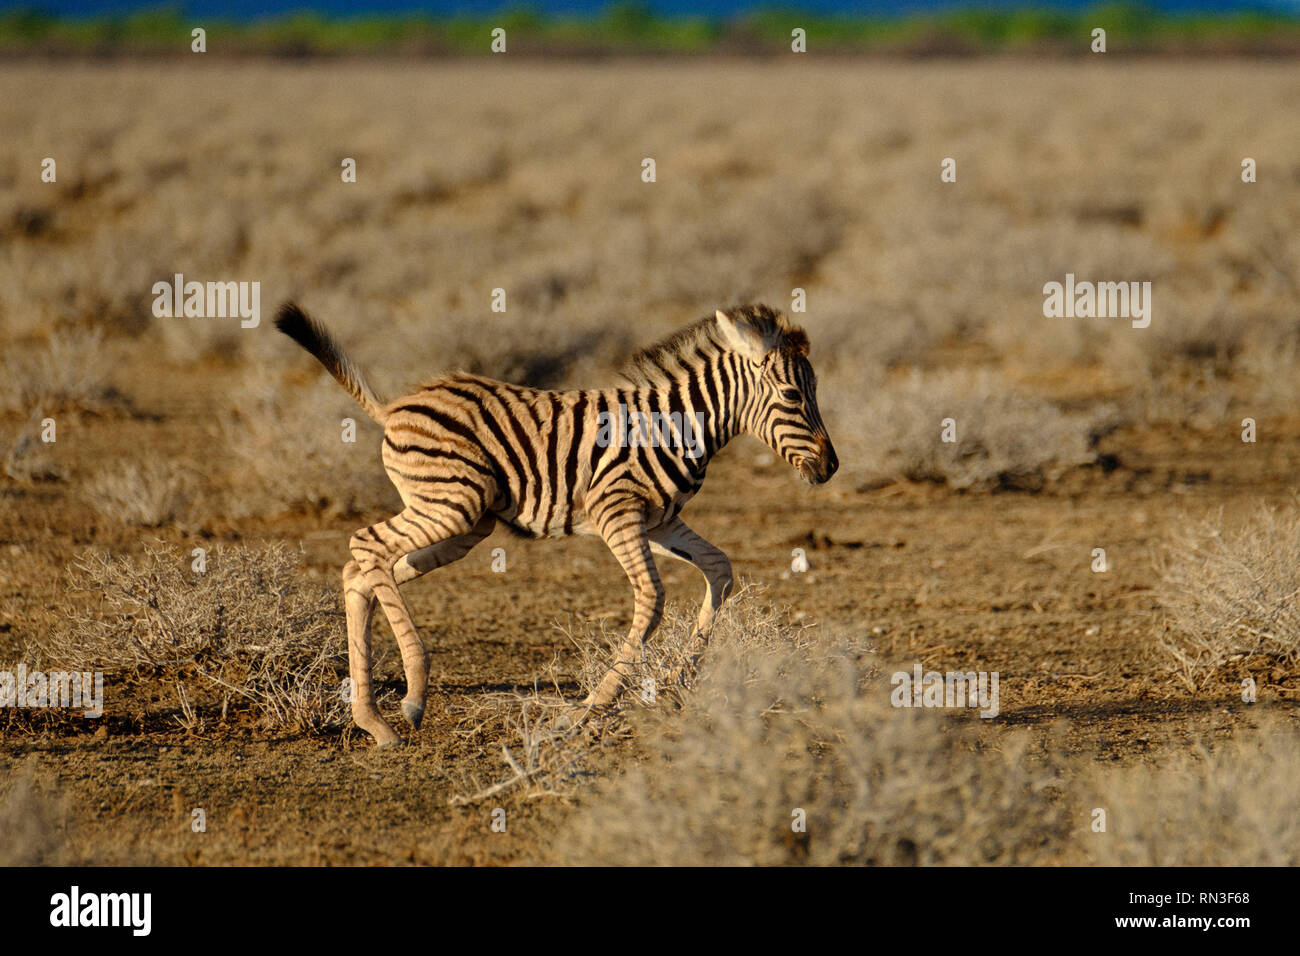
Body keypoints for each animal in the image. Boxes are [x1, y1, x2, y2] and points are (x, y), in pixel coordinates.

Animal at [275, 303, 842, 749]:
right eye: (793, 396)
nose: (832, 467)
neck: (678, 425)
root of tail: (393, 407)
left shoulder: (661, 522)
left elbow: (720, 569)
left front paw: (684, 674)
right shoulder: (617, 512)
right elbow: (652, 598)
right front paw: (590, 707)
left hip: (463, 522)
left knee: (361, 571)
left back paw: (372, 719)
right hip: (451, 504)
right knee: (366, 545)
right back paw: (412, 695)